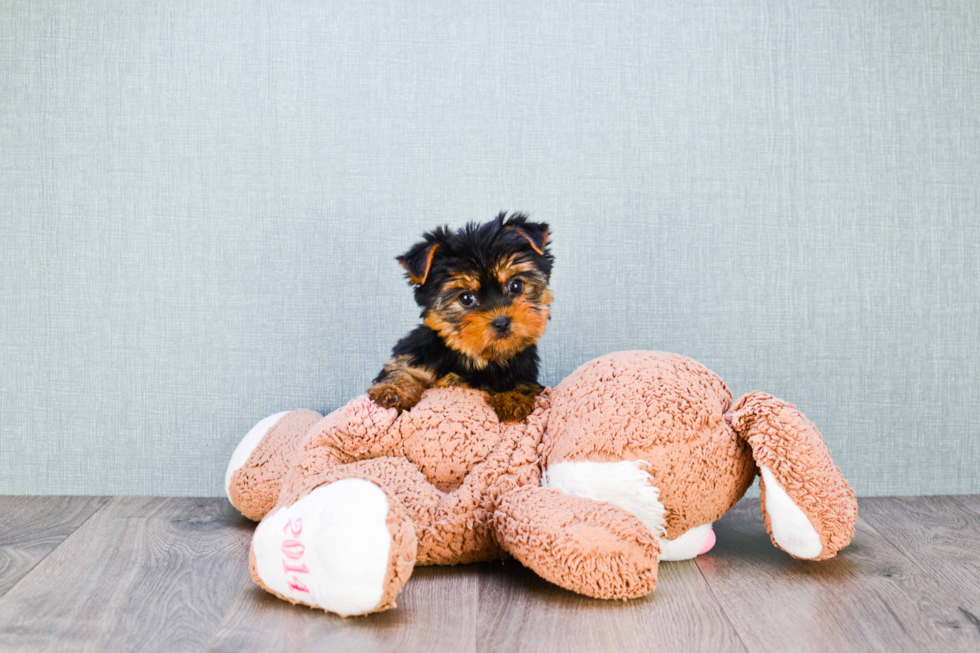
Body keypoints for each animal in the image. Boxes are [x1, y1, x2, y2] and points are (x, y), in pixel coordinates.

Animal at [366, 211, 552, 420]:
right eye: (466, 298)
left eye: (516, 286)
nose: (501, 322)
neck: (475, 357)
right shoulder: (417, 356)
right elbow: (399, 369)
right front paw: (392, 390)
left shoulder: (524, 372)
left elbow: (523, 384)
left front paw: (514, 398)